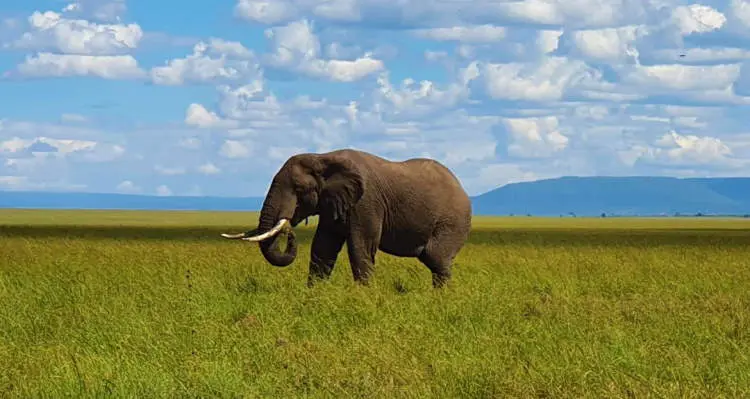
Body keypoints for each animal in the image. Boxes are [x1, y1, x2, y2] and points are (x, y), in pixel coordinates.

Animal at [220, 148, 472, 290]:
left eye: (299, 189)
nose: (289, 229)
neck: (323, 157)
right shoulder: (333, 203)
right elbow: (323, 246)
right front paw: (314, 294)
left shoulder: (366, 203)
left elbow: (360, 247)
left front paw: (364, 296)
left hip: (453, 221)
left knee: (435, 257)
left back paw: (441, 297)